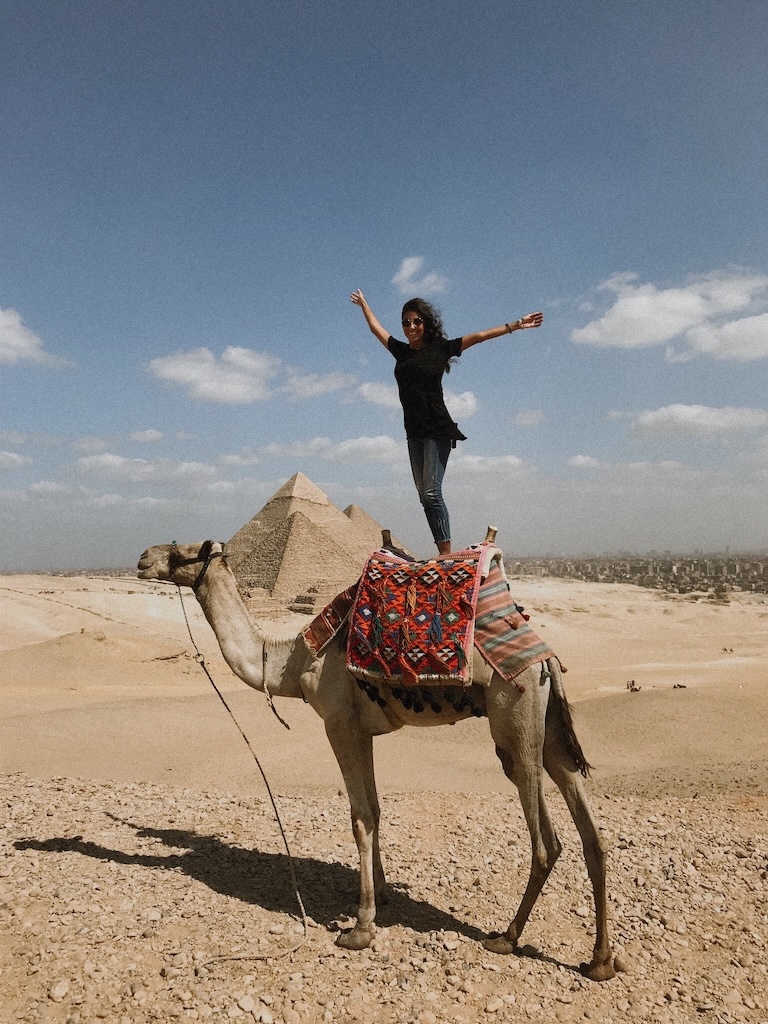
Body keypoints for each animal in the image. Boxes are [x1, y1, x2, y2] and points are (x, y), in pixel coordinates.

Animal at [138, 540, 618, 978]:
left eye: (180, 552)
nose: (142, 558)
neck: (293, 661)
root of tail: (546, 658)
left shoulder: (339, 725)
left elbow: (360, 818)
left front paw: (361, 928)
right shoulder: (363, 731)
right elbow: (376, 810)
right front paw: (382, 894)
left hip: (514, 717)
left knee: (544, 840)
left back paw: (508, 937)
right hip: (549, 730)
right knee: (589, 831)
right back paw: (600, 961)